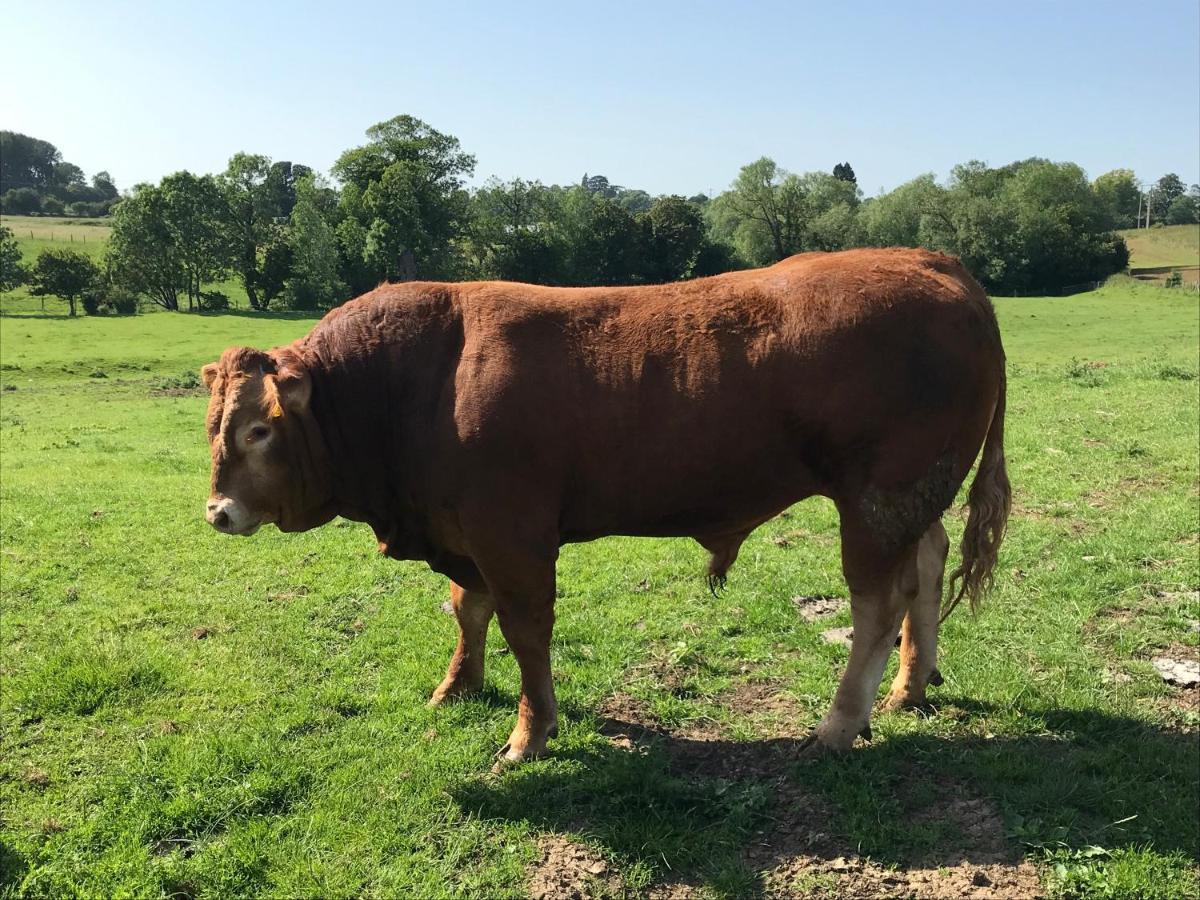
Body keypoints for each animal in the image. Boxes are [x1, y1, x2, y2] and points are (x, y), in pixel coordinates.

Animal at [201, 248, 1008, 768]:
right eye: (213, 424)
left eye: (259, 428)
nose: (217, 512)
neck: (417, 383)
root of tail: (931, 261)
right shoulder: (465, 531)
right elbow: (467, 609)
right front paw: (458, 686)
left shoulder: (511, 534)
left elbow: (525, 632)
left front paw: (528, 735)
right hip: (911, 496)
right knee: (927, 567)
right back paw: (909, 686)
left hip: (878, 498)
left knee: (878, 603)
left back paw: (839, 725)